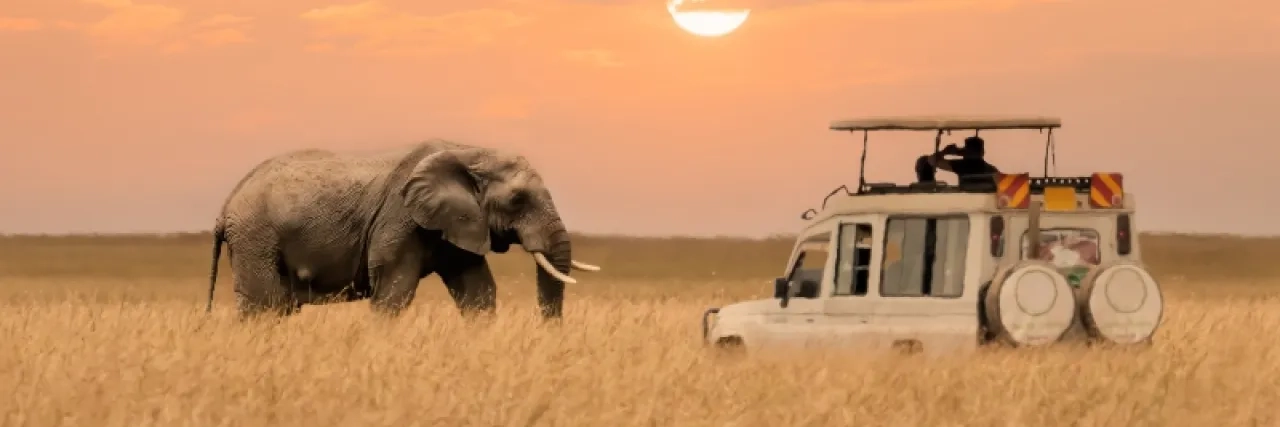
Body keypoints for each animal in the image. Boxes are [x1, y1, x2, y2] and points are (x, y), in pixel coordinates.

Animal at [204, 139, 600, 320]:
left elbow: (478, 292)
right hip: (256, 237)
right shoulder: (399, 220)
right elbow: (394, 292)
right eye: (517, 199)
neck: (468, 152)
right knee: (263, 306)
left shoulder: (457, 225)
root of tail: (225, 206)